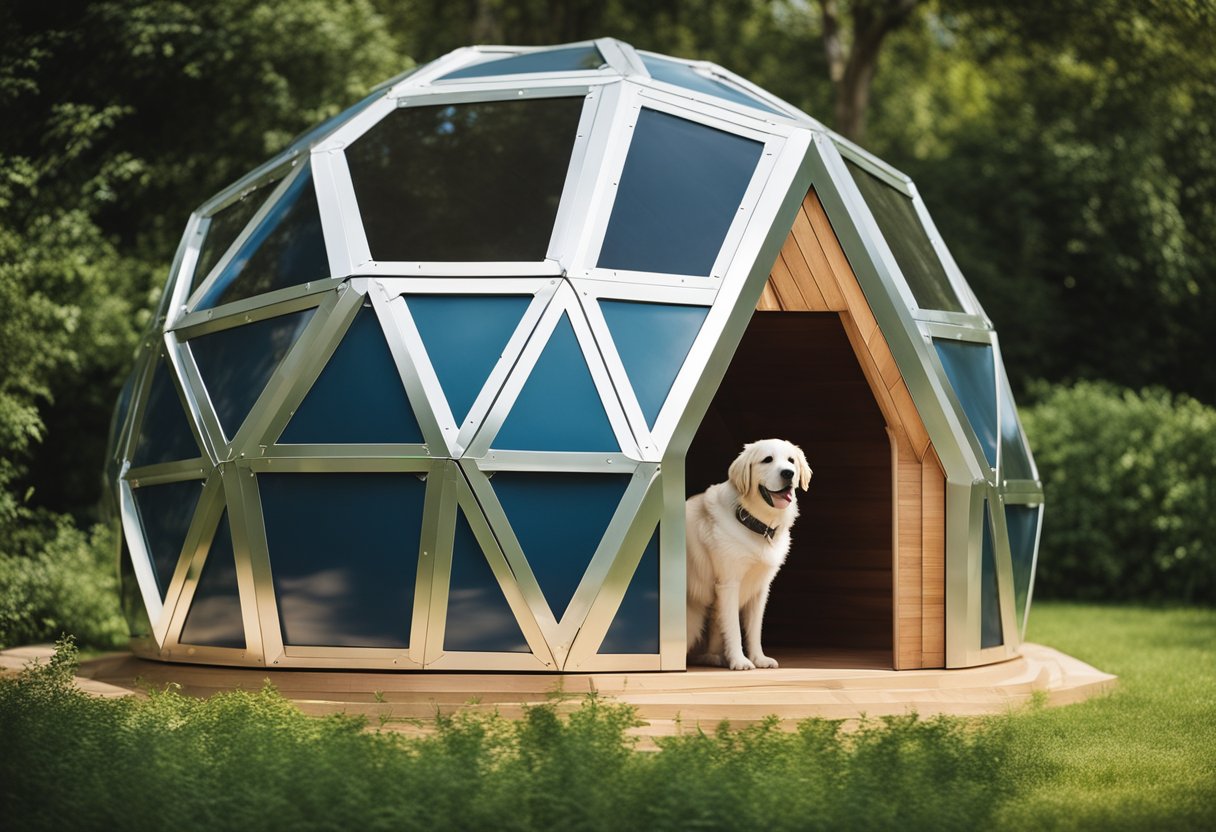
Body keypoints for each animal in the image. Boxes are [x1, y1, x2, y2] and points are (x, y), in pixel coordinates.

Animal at [690, 442, 812, 671]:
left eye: (791, 460)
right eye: (767, 460)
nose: (788, 473)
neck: (757, 524)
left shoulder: (760, 588)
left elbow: (755, 629)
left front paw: (758, 658)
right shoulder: (728, 584)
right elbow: (734, 628)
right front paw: (739, 661)